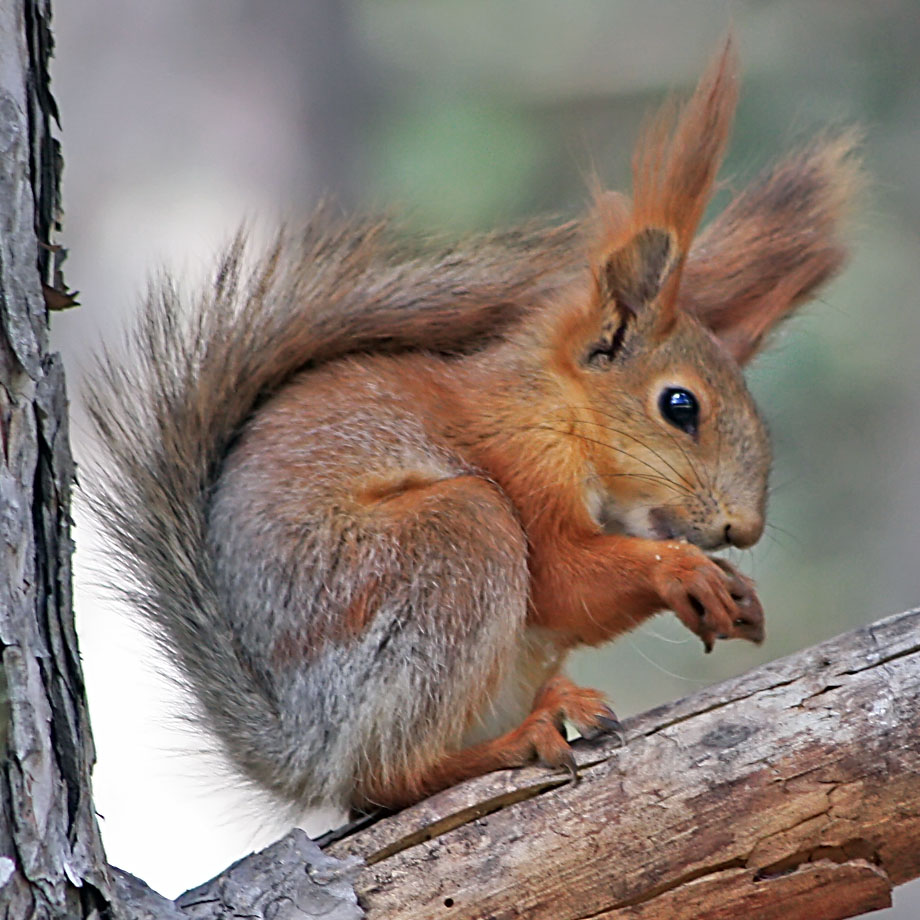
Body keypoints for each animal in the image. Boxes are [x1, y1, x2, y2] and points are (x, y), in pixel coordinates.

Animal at [82, 41, 860, 820]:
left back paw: (557, 701)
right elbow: (561, 581)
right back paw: (514, 741)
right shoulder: (521, 460)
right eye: (680, 406)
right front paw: (682, 570)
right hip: (449, 543)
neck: (558, 408)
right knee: (387, 776)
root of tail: (305, 749)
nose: (744, 529)